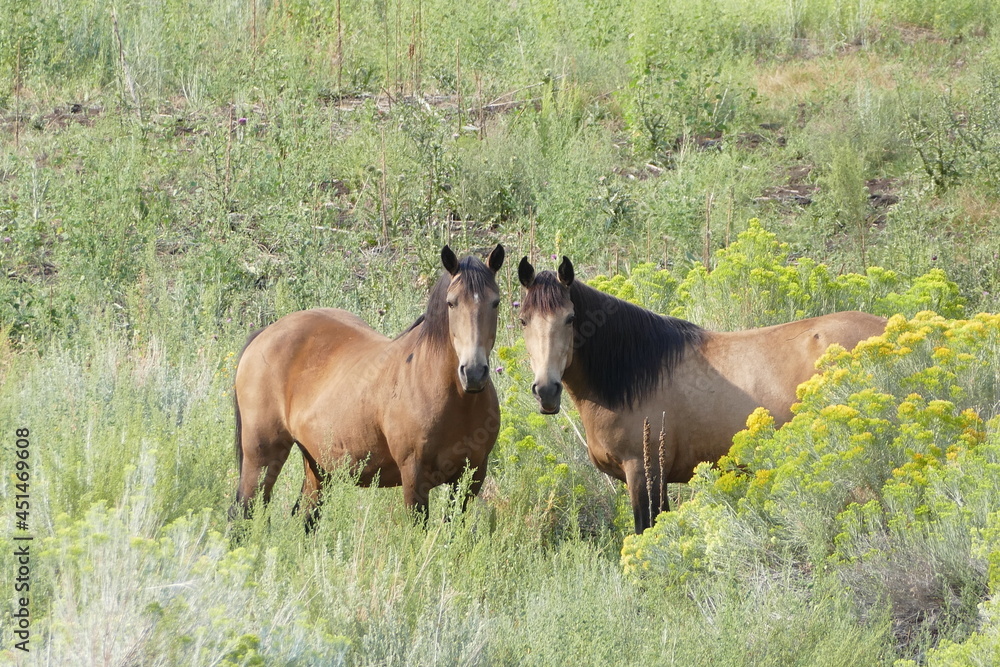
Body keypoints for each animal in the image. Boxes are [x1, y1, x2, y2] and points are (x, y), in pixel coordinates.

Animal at [230, 244, 505, 529]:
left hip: (318, 467)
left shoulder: (472, 477)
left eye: (495, 302)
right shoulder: (415, 477)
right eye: (452, 303)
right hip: (262, 456)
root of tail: (265, 333)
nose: (473, 373)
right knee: (243, 511)